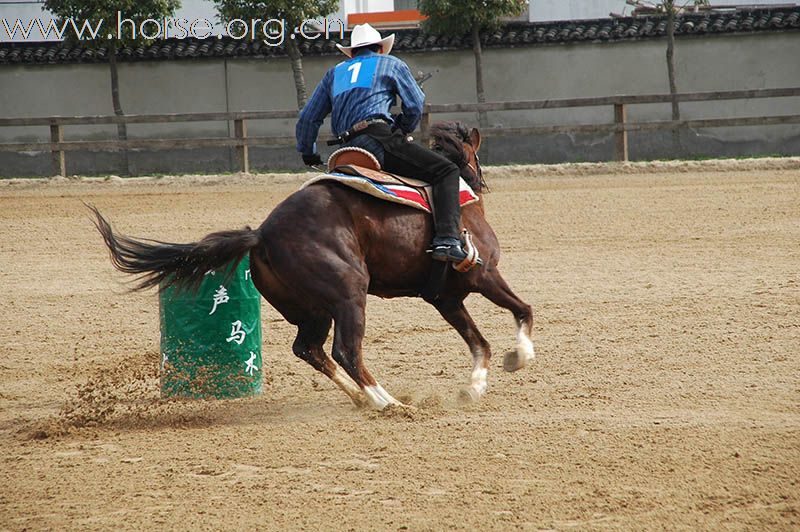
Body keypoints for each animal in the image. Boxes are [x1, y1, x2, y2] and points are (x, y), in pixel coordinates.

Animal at [90, 121, 536, 412]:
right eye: (477, 159)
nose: (481, 181)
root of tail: (262, 234)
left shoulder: (445, 298)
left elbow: (479, 342)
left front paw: (474, 388)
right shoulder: (484, 276)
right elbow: (523, 311)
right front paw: (520, 357)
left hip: (313, 309)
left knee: (310, 349)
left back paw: (361, 398)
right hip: (349, 295)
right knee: (346, 351)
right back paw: (387, 402)